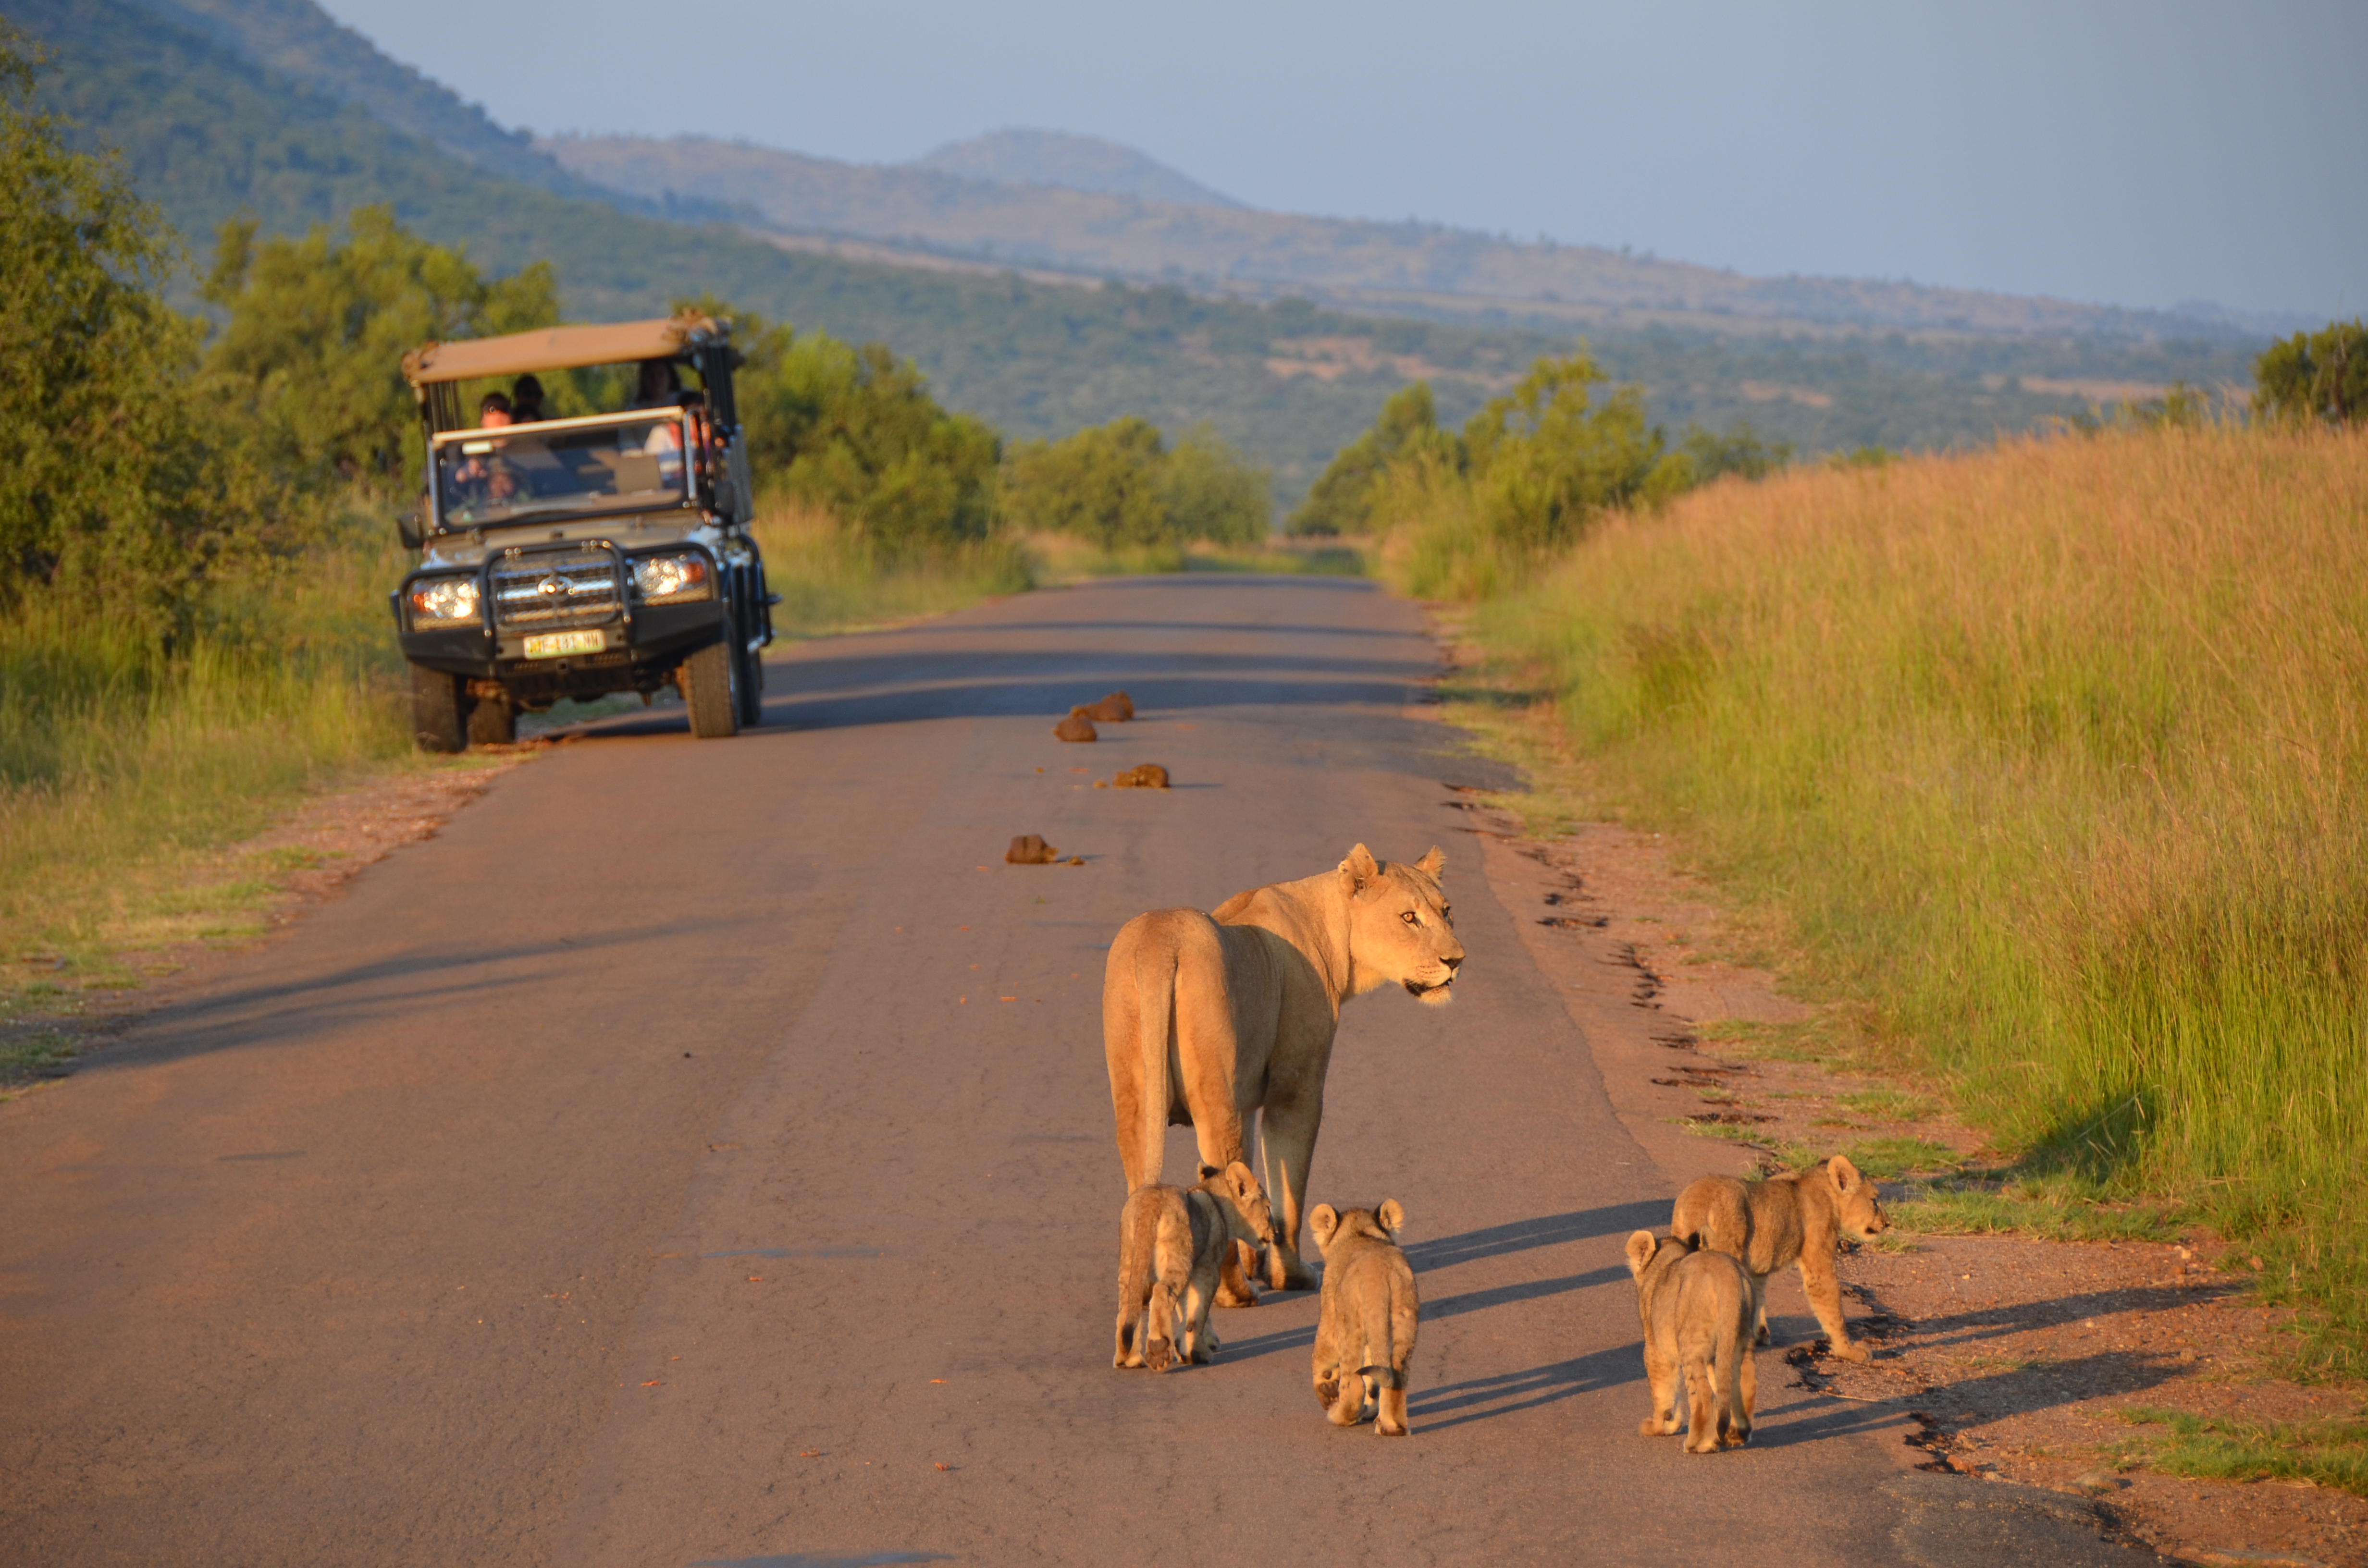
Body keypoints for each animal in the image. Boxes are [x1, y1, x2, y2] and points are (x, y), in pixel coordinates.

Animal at [1103, 844, 1463, 1301]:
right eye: (1409, 918)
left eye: (1447, 911)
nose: (1456, 961)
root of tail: (1160, 945)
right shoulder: (1295, 1091)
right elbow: (1290, 1191)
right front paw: (1290, 1276)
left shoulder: (1248, 1100)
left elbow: (1256, 1180)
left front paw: (1260, 1257)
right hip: (1215, 1098)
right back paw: (1236, 1293)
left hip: (1135, 1096)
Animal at [1112, 1161, 1276, 1372]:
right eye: (1268, 1207)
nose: (1276, 1232)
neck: (1219, 1205)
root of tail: (1149, 1203)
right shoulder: (1207, 1268)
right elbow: (1197, 1313)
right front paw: (1196, 1353)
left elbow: (1186, 1309)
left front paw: (1189, 1347)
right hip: (1179, 1255)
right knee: (1162, 1292)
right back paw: (1158, 1348)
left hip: (1130, 1260)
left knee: (1128, 1305)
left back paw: (1127, 1359)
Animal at [1309, 1200, 1419, 1435]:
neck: (1360, 1233)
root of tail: (1378, 1276)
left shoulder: (1329, 1308)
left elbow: (1322, 1354)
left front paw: (1325, 1385)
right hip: (1405, 1319)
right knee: (1396, 1379)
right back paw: (1391, 1427)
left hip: (1349, 1322)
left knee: (1354, 1384)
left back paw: (1339, 1415)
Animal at [1624, 1231, 1755, 1452]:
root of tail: (1726, 1273)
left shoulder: (1655, 1349)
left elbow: (1661, 1392)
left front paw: (1658, 1426)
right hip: (1741, 1335)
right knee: (1743, 1382)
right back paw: (1737, 1434)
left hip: (1691, 1342)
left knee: (1703, 1395)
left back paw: (1698, 1444)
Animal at [1671, 1154, 1888, 1362]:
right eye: (1875, 1201)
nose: (1888, 1223)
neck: (1828, 1194)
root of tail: (1697, 1199)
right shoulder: (1818, 1264)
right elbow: (1833, 1309)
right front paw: (1848, 1350)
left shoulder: (1758, 1268)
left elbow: (1759, 1296)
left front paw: (1760, 1334)